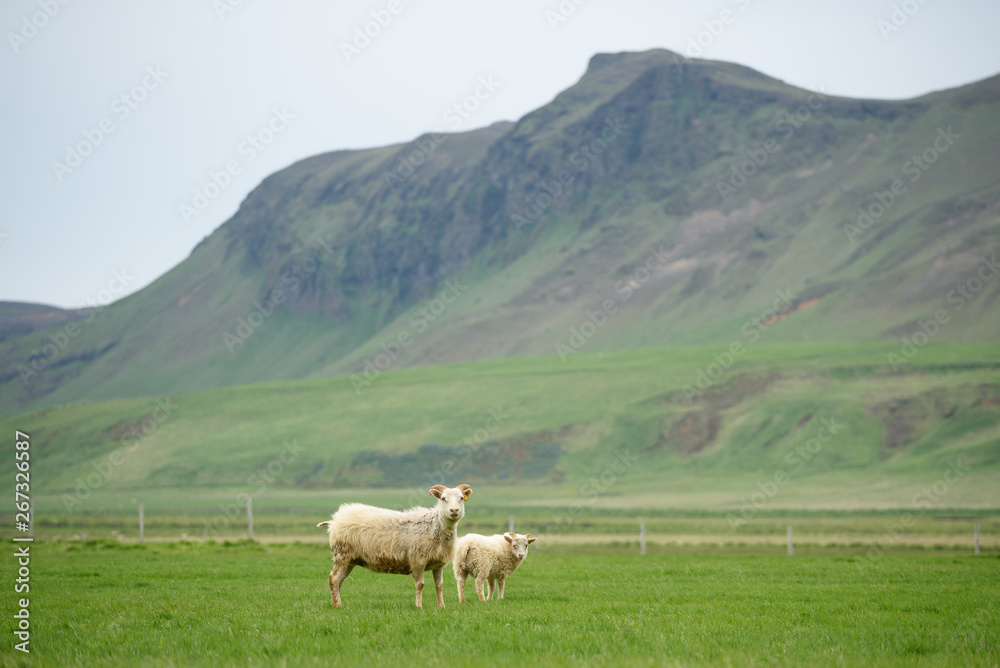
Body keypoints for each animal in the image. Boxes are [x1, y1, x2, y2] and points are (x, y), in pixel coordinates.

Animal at [316, 482, 472, 608]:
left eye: (461, 498)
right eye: (443, 498)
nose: (454, 511)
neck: (434, 526)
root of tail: (335, 520)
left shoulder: (438, 564)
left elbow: (439, 585)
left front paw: (441, 606)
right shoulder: (417, 561)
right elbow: (420, 585)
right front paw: (419, 606)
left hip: (351, 559)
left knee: (339, 580)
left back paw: (335, 603)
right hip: (342, 554)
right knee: (334, 578)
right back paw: (338, 605)